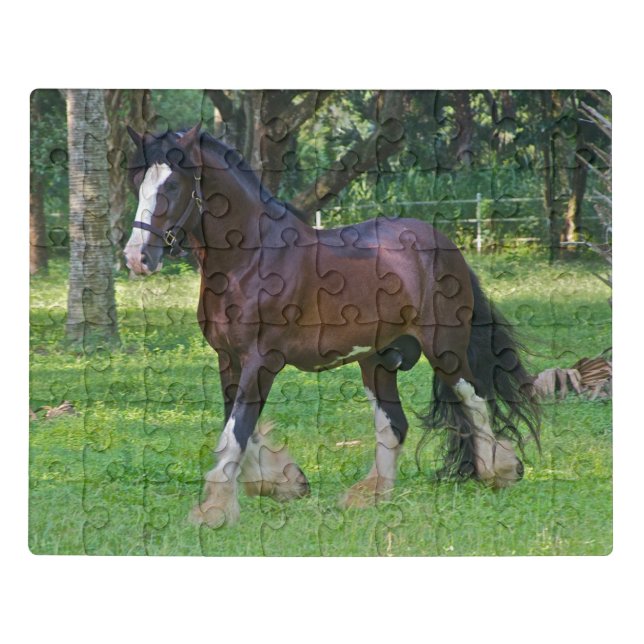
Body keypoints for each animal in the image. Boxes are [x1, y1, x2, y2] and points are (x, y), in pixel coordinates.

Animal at [123, 123, 540, 526]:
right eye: (138, 181)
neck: (252, 259)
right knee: (394, 424)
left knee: (474, 399)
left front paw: (214, 510)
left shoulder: (262, 360)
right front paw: (283, 482)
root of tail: (445, 245)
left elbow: (237, 430)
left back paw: (498, 471)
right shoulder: (229, 358)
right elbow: (239, 426)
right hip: (377, 360)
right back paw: (371, 495)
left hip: (445, 349)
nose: (137, 257)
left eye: (172, 185)